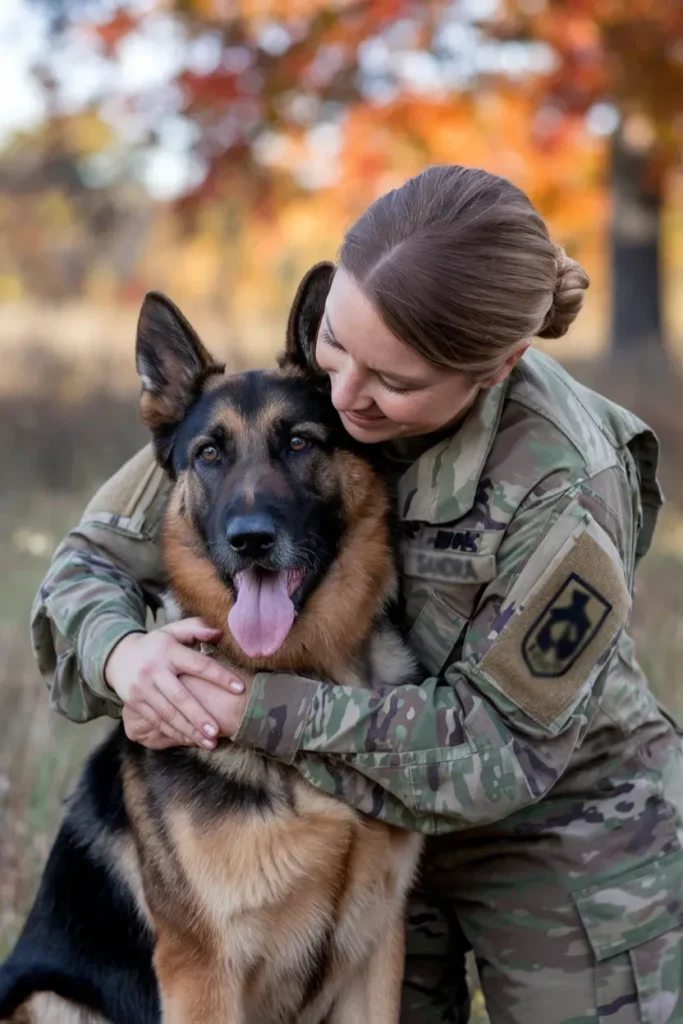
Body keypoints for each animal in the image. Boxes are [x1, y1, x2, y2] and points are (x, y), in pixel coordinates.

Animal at [0, 266, 423, 1024]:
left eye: (299, 443)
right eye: (209, 455)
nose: (250, 539)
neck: (305, 675)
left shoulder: (377, 954)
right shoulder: (204, 971)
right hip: (48, 999)